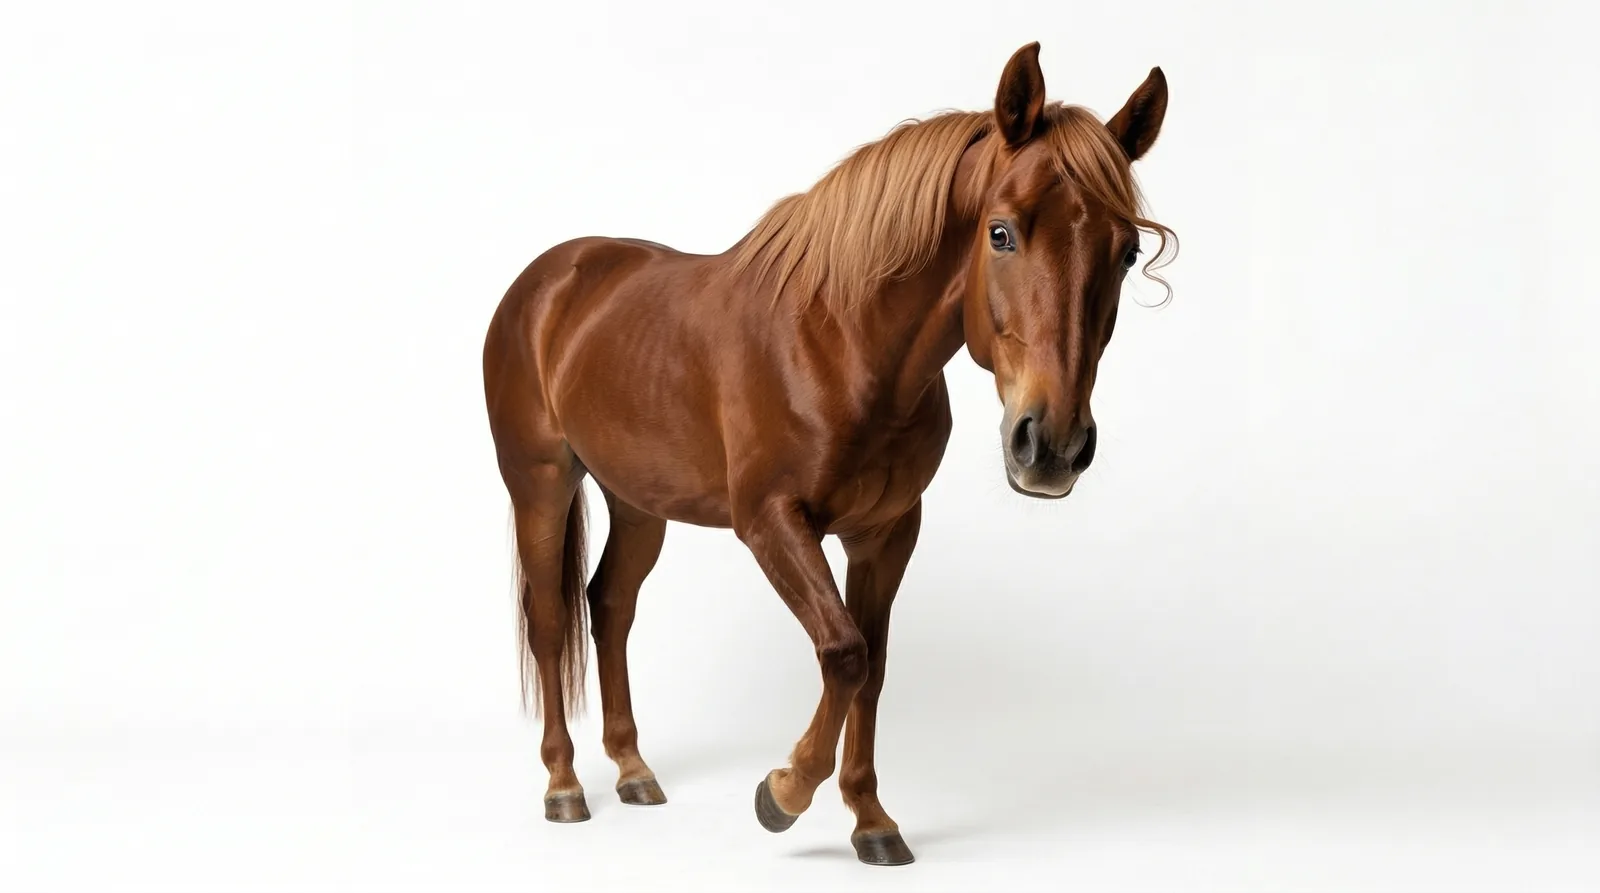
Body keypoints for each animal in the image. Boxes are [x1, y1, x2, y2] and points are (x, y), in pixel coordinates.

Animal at [481, 41, 1176, 865]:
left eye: (1127, 253)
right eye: (1001, 232)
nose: (1053, 445)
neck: (843, 345)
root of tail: (550, 278)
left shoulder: (887, 531)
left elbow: (872, 665)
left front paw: (871, 820)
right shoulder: (772, 523)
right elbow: (843, 651)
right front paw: (781, 794)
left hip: (639, 499)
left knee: (610, 605)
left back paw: (633, 770)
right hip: (542, 483)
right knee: (551, 617)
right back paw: (564, 785)